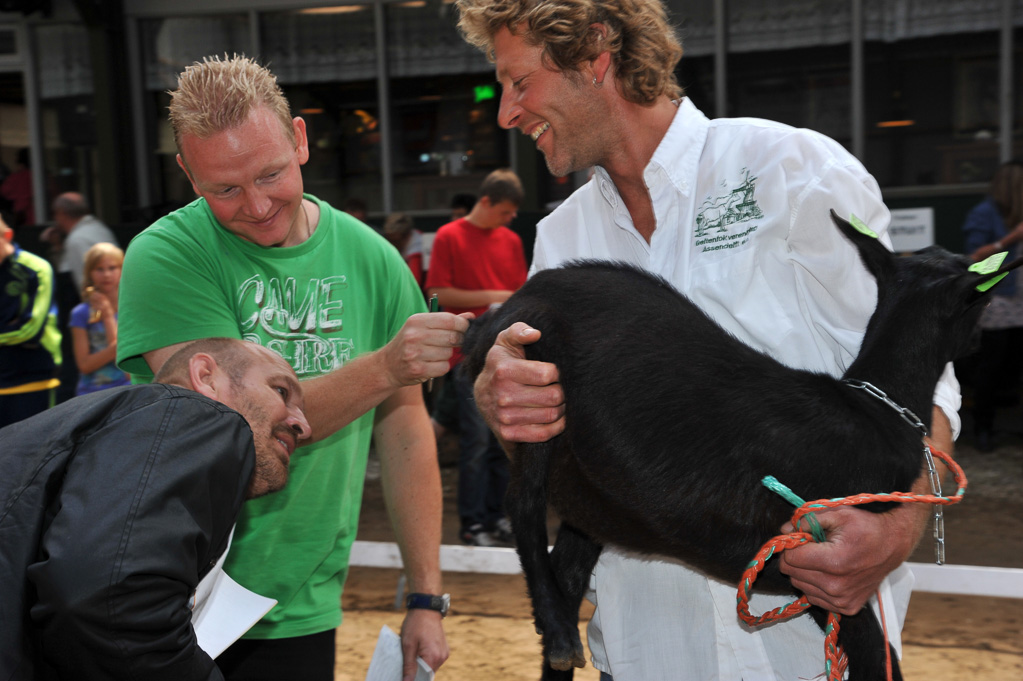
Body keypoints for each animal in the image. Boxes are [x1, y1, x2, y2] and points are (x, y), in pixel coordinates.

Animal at [464, 210, 1023, 678]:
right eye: (982, 298)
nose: (980, 341)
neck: (874, 408)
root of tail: (504, 308)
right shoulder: (823, 569)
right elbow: (874, 656)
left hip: (593, 494)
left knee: (569, 565)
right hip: (536, 381)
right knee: (523, 505)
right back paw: (560, 633)